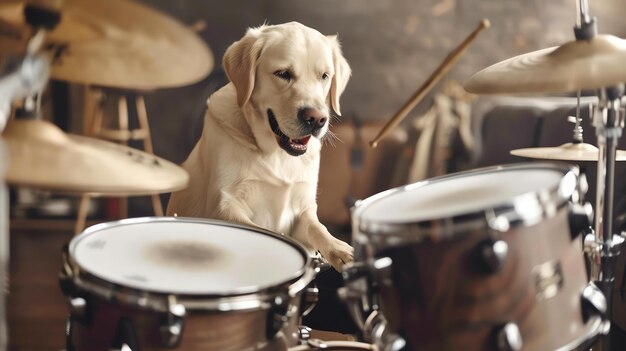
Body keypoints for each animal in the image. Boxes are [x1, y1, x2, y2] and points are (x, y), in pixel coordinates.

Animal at [166, 22, 354, 272]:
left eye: (324, 76)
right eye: (282, 74)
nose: (316, 119)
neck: (276, 153)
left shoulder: (303, 206)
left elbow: (317, 227)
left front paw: (339, 249)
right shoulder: (224, 204)